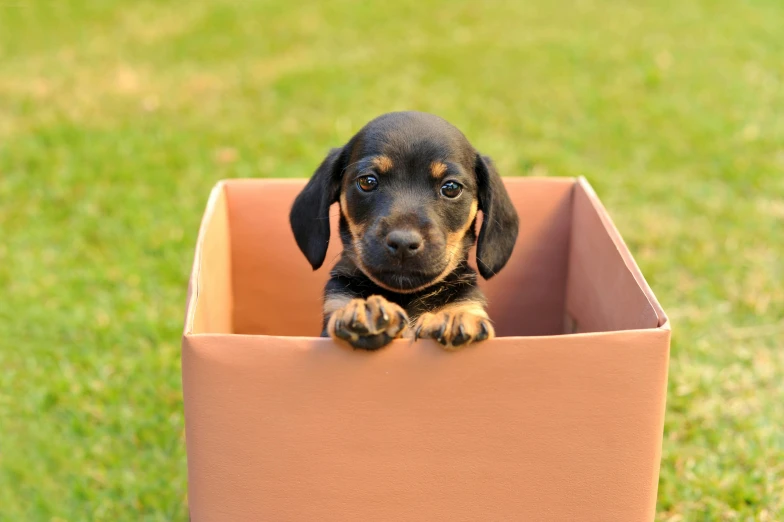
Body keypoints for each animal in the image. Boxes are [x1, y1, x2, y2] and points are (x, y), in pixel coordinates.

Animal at [290, 112, 516, 350]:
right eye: (367, 181)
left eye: (451, 188)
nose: (403, 243)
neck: (405, 297)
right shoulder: (336, 304)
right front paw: (366, 311)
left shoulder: (468, 300)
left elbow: (462, 308)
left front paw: (454, 317)